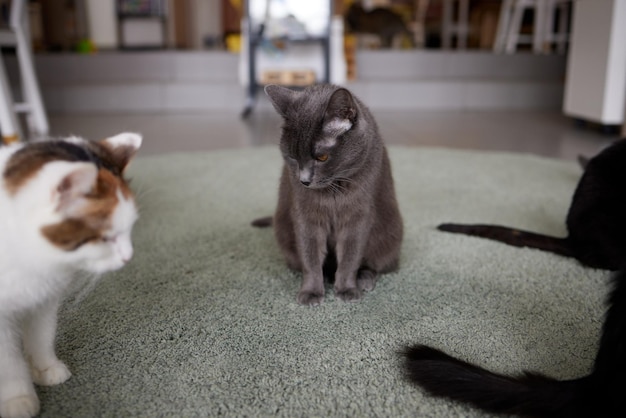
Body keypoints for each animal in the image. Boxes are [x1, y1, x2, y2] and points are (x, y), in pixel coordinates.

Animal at [0, 133, 141, 418]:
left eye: (130, 228)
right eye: (106, 238)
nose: (128, 257)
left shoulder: (43, 301)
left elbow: (42, 336)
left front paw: (45, 368)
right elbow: (8, 361)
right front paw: (17, 399)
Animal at [252, 84, 402, 306]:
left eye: (322, 157)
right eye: (292, 157)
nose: (304, 180)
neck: (333, 190)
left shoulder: (358, 216)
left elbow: (350, 255)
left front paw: (347, 289)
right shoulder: (306, 216)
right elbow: (310, 256)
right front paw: (311, 292)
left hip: (390, 234)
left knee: (377, 263)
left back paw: (364, 279)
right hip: (283, 231)